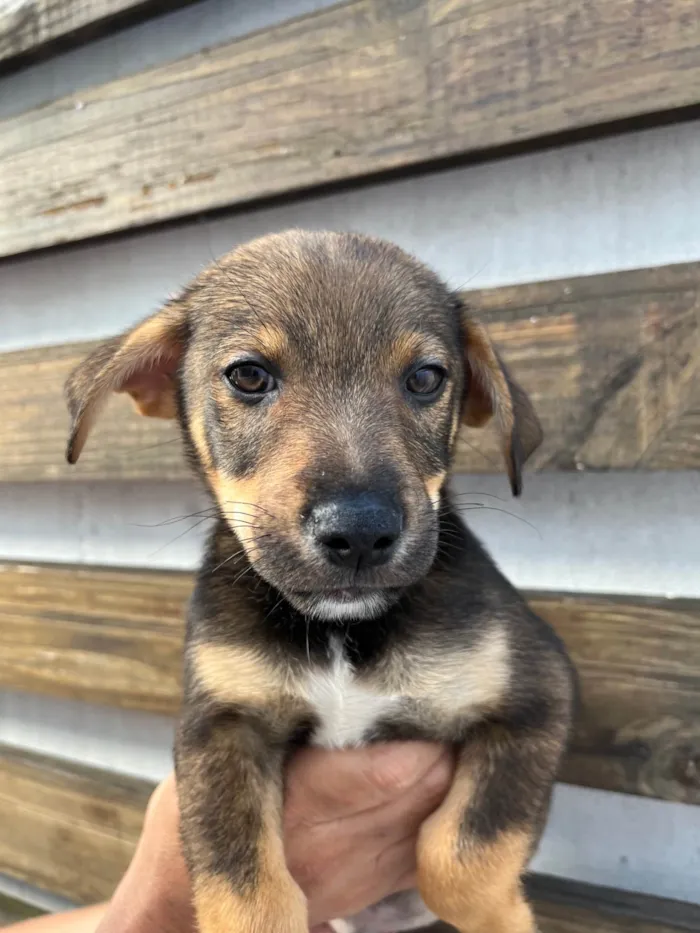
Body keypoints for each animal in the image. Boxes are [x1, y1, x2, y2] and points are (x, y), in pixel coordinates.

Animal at [64, 231, 576, 932]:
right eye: (249, 374)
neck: (343, 633)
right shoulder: (220, 723)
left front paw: (505, 916)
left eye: (426, 378)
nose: (359, 533)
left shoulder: (536, 695)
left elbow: (462, 862)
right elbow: (245, 892)